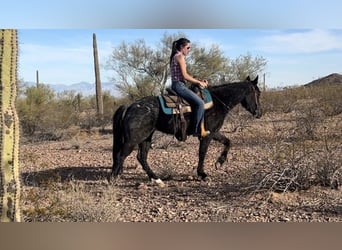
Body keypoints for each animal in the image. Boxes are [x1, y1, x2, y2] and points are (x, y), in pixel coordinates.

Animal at [109, 75, 262, 184]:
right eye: (258, 93)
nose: (259, 113)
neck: (218, 101)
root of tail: (130, 105)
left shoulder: (213, 132)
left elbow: (228, 142)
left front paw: (219, 162)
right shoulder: (207, 135)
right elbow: (202, 153)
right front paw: (202, 174)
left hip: (146, 137)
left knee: (141, 157)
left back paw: (156, 179)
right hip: (133, 139)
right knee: (121, 156)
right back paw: (112, 179)